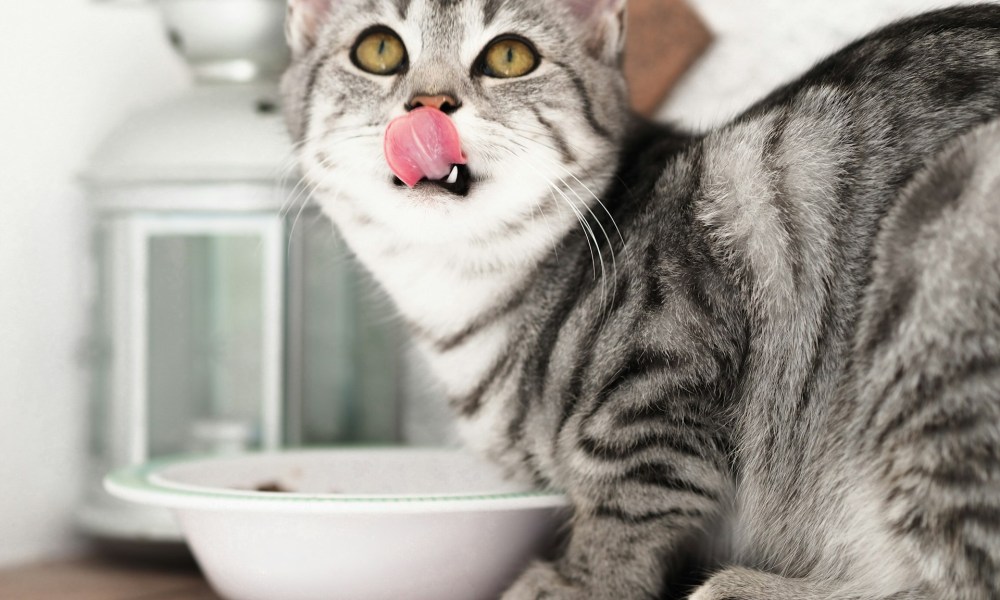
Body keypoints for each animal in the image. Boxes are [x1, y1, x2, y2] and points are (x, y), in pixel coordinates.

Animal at [280, 1, 1000, 600]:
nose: (429, 102)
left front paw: (579, 581)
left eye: (510, 56)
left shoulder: (665, 370)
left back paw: (739, 589)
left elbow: (629, 496)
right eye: (379, 49)